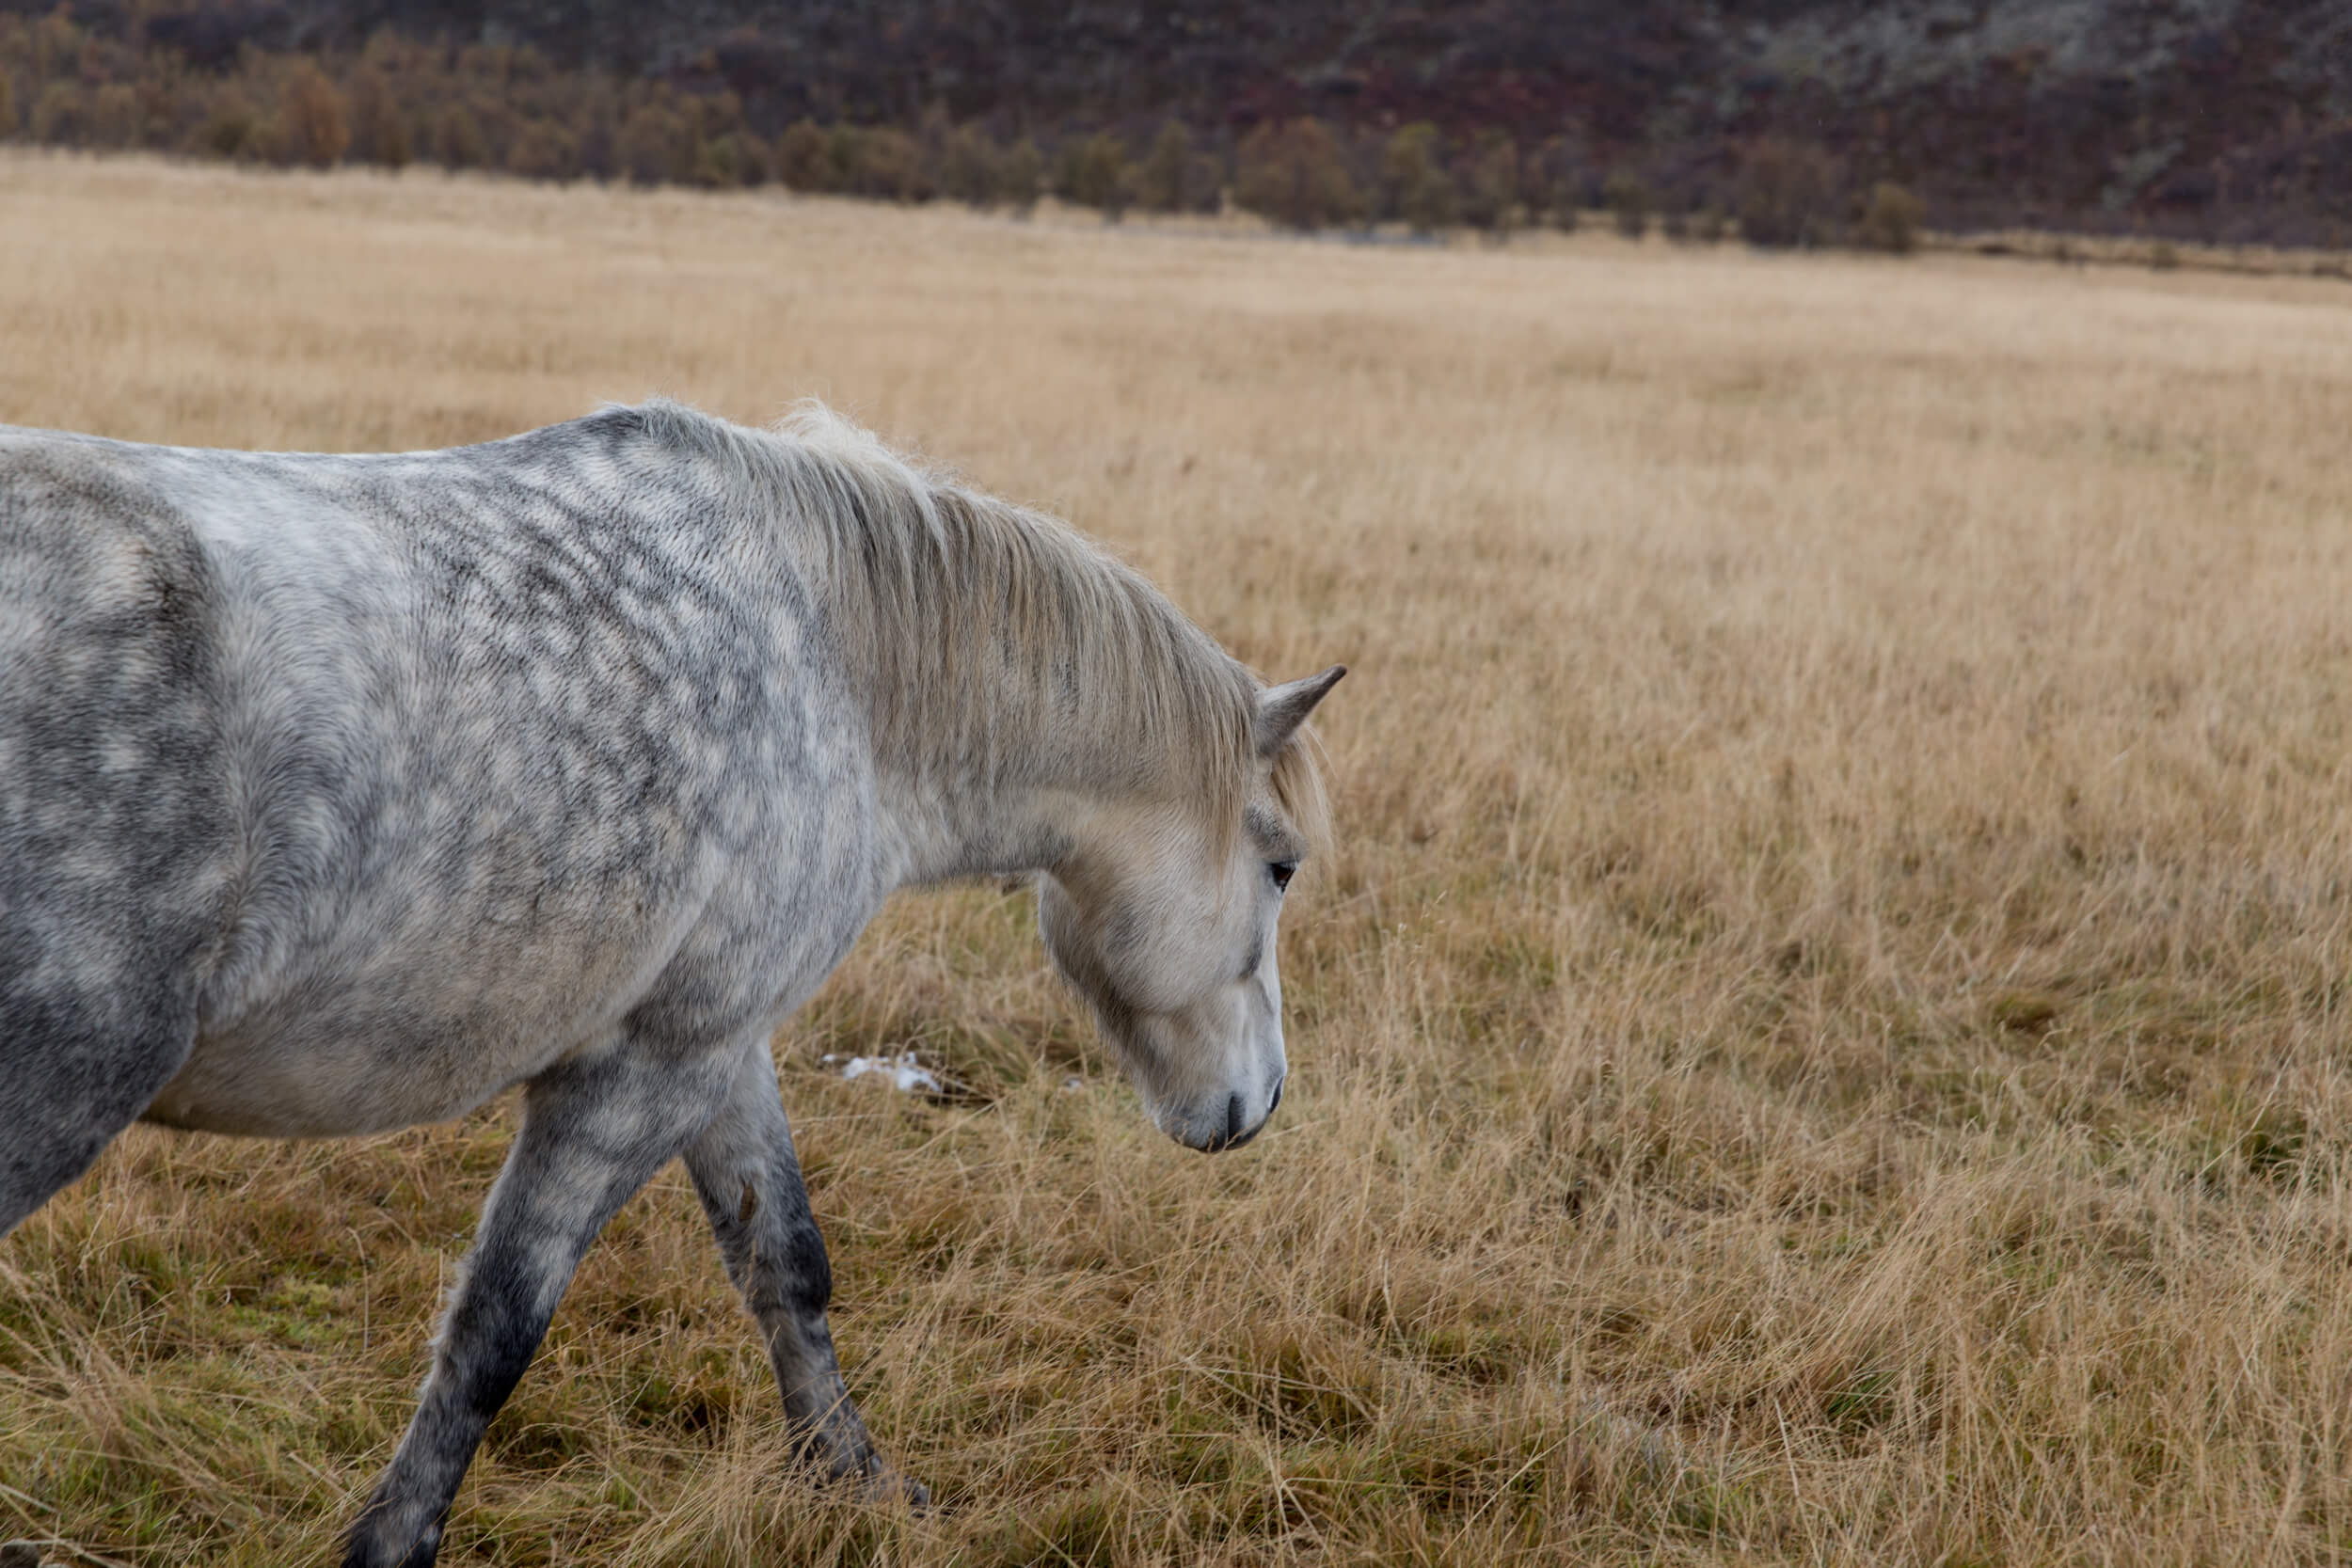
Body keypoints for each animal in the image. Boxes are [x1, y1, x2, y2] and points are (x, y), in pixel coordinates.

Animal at [0, 399, 1345, 1560]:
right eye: (1281, 866)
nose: (1261, 1102)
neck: (842, 664)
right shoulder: (633, 1073)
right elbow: (494, 1332)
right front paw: (391, 1543)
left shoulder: (716, 1041)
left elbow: (785, 1260)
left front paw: (856, 1480)